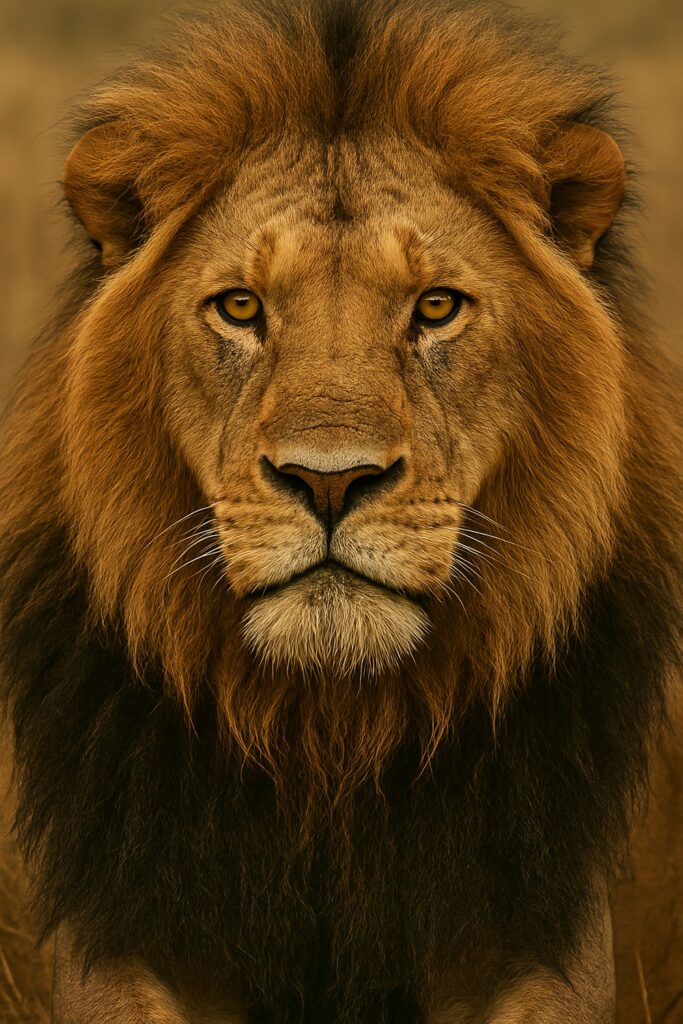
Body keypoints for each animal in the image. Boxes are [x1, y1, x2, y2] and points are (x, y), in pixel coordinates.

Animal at [0, 0, 681, 1021]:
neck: (328, 738)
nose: (328, 481)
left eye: (435, 307)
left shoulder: (545, 940)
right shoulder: (119, 935)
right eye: (241, 308)